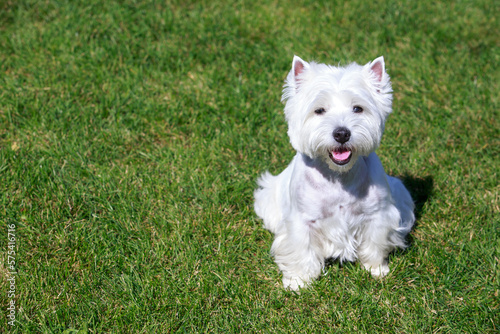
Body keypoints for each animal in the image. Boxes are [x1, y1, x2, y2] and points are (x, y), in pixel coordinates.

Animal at [254, 55, 414, 290]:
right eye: (319, 110)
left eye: (357, 108)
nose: (341, 133)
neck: (338, 176)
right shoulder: (302, 221)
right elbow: (301, 250)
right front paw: (298, 281)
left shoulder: (378, 215)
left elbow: (374, 243)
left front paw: (376, 269)